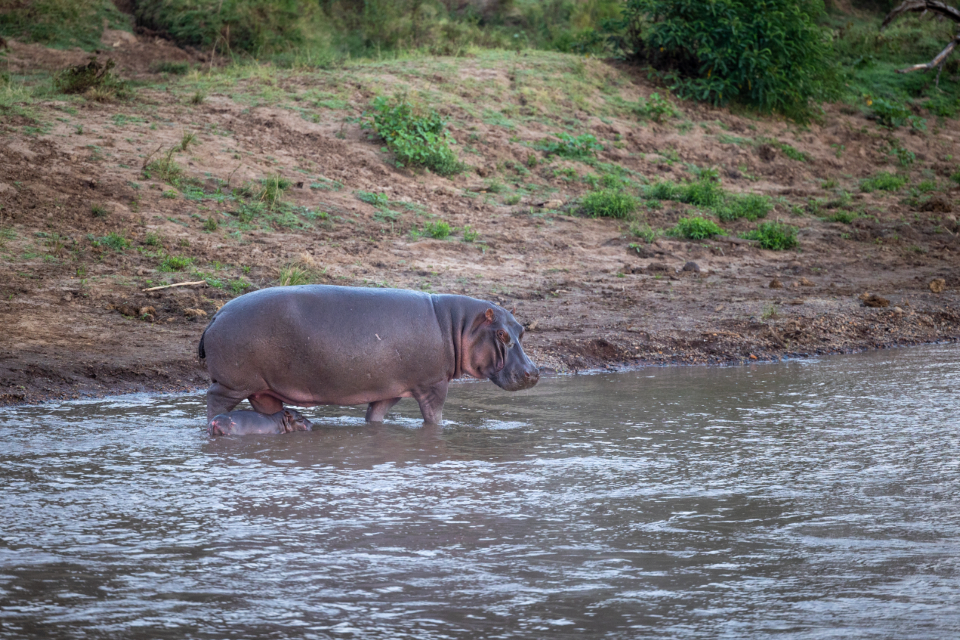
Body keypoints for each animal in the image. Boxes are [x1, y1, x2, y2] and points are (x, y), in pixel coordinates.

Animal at [198, 285, 539, 425]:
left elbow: (374, 416)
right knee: (214, 402)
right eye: (501, 334)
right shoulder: (432, 385)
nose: (534, 372)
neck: (460, 325)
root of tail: (216, 314)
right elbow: (434, 419)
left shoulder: (389, 390)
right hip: (231, 383)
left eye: (521, 330)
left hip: (263, 389)